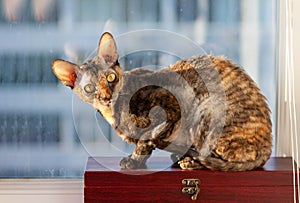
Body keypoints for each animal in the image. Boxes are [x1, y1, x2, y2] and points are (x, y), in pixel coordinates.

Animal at [51, 32, 272, 171]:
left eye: (111, 77)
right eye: (89, 88)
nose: (106, 95)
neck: (113, 112)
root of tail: (268, 145)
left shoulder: (171, 108)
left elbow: (146, 139)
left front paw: (134, 160)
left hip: (206, 109)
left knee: (225, 158)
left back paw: (190, 161)